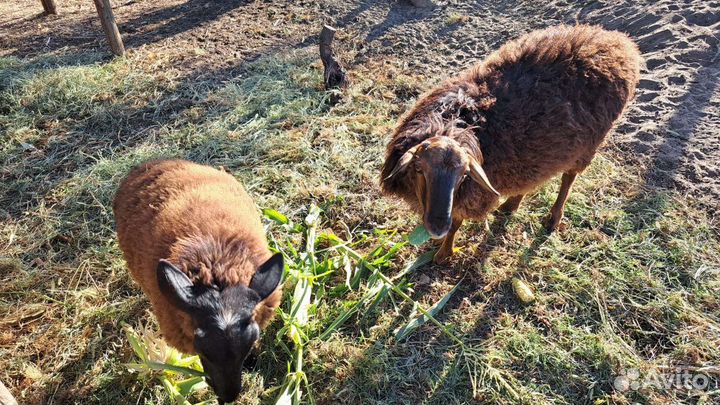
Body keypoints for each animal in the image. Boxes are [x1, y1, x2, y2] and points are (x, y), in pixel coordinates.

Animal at [381, 24, 641, 263]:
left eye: (464, 175)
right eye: (418, 168)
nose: (437, 227)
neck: (457, 121)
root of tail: (618, 42)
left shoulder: (474, 194)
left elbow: (456, 222)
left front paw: (444, 252)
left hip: (588, 146)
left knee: (568, 179)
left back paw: (553, 218)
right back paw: (511, 204)